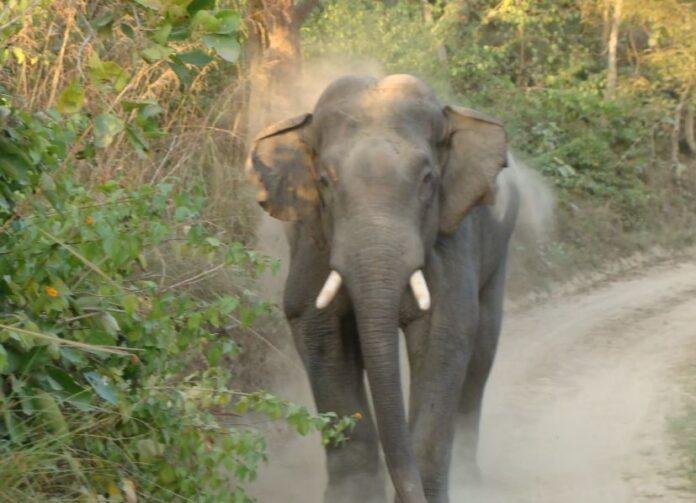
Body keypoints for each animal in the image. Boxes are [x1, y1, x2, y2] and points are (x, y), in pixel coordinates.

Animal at [246, 74, 519, 503]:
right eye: (323, 181)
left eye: (427, 179)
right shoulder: (312, 240)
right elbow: (316, 327)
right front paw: (350, 497)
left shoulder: (452, 237)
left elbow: (445, 333)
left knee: (482, 351)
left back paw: (470, 477)